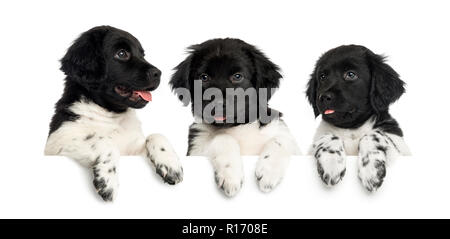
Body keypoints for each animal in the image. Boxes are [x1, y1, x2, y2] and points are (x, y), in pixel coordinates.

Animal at [45, 26, 183, 202]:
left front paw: (171, 164)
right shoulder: (59, 141)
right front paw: (107, 181)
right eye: (122, 53)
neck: (111, 115)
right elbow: (102, 141)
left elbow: (156, 135)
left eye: (142, 54)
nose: (158, 73)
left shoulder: (133, 150)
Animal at [169, 38, 298, 196]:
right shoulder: (196, 149)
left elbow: (281, 139)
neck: (237, 127)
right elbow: (223, 138)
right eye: (204, 77)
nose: (218, 104)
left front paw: (269, 171)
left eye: (237, 76)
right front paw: (230, 174)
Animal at [308, 44, 410, 191]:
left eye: (351, 74)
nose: (323, 97)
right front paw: (332, 163)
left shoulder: (400, 148)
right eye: (322, 77)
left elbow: (373, 135)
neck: (352, 130)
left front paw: (371, 171)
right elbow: (328, 135)